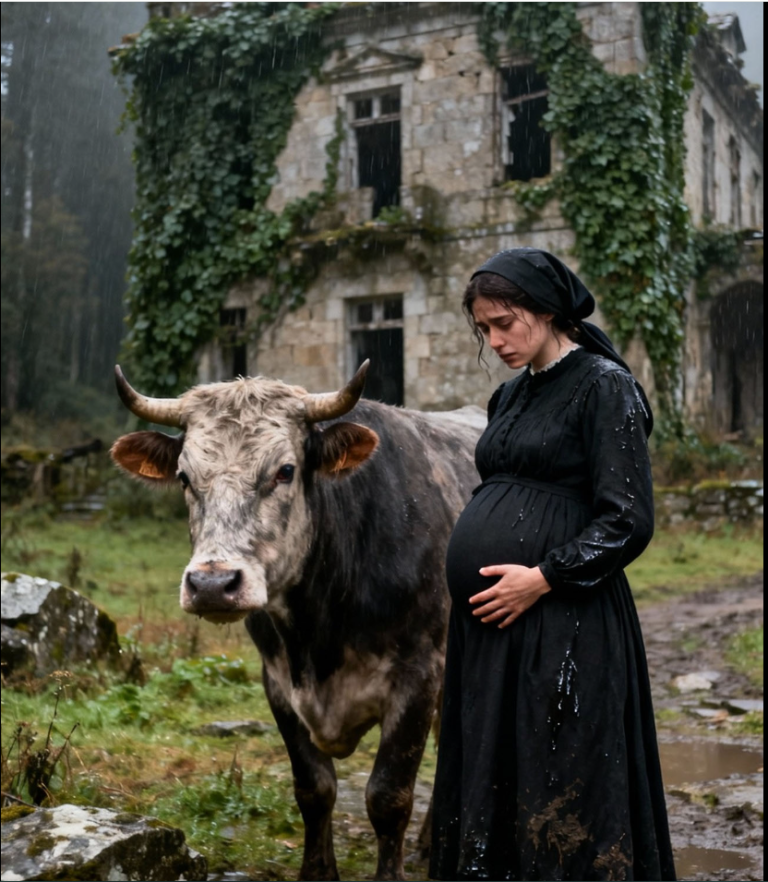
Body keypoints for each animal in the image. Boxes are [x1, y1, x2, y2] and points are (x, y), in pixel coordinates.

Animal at [110, 361, 484, 881]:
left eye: (285, 471)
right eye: (184, 476)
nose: (212, 583)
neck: (318, 633)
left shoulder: (418, 675)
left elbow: (388, 797)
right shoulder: (278, 683)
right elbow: (314, 789)